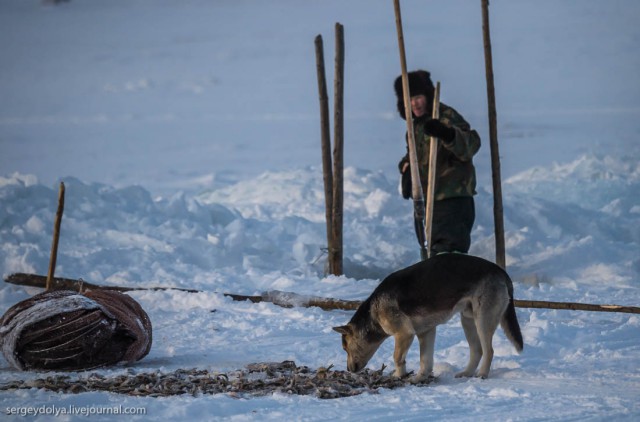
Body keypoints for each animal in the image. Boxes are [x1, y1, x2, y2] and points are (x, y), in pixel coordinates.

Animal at [332, 252, 524, 380]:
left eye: (345, 348)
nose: (348, 369)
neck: (372, 313)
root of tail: (500, 271)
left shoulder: (404, 334)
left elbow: (397, 357)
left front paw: (398, 376)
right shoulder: (426, 332)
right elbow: (425, 359)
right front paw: (420, 378)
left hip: (483, 320)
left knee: (489, 351)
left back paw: (482, 374)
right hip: (468, 320)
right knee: (477, 350)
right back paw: (467, 373)